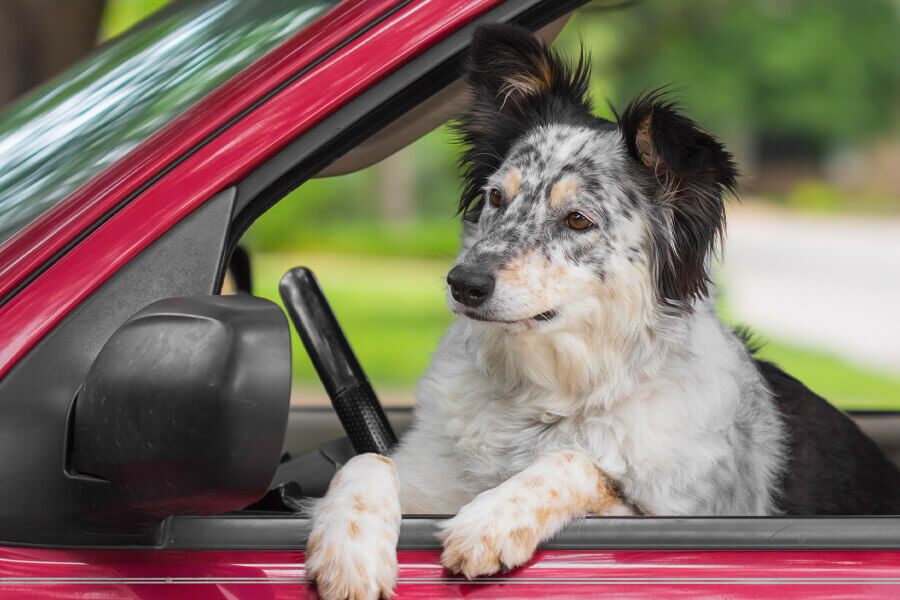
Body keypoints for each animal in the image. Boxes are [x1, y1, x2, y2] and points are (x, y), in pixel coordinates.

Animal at [304, 23, 900, 600]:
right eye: (497, 198)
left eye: (577, 220)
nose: (463, 284)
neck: (553, 394)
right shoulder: (429, 475)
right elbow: (368, 460)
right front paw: (348, 547)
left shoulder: (679, 514)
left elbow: (578, 463)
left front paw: (494, 517)